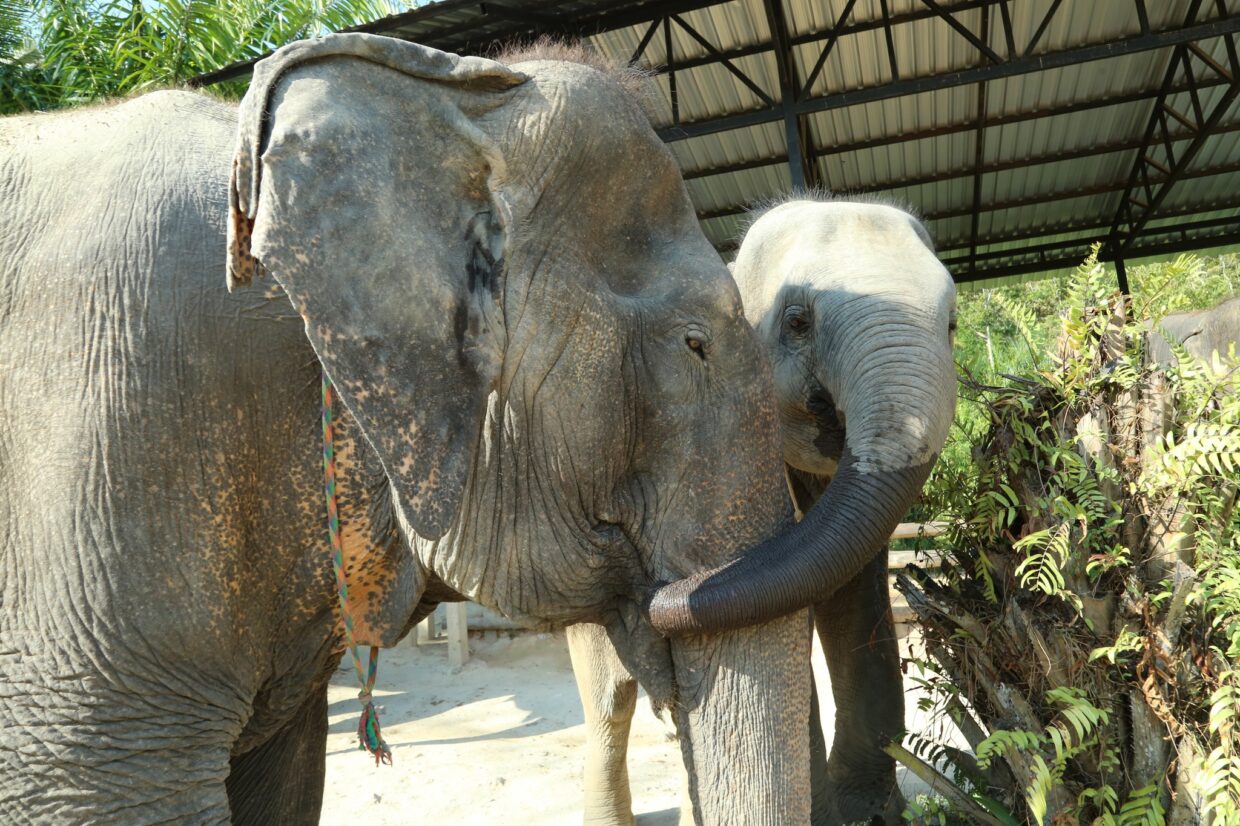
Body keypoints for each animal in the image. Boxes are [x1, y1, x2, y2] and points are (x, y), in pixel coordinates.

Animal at [570, 197, 958, 826]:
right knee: (610, 702)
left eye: (951, 324)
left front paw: (872, 813)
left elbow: (852, 594)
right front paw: (828, 815)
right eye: (797, 321)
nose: (653, 584)